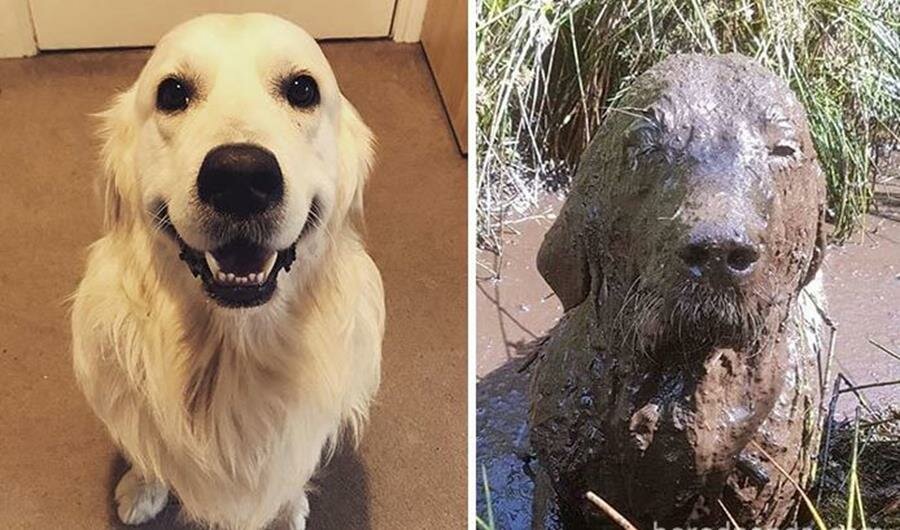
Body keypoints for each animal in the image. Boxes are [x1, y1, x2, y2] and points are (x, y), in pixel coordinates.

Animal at [68, 12, 382, 528]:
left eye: (303, 89)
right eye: (172, 92)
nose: (240, 178)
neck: (232, 349)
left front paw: (286, 509)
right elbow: (145, 449)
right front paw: (142, 486)